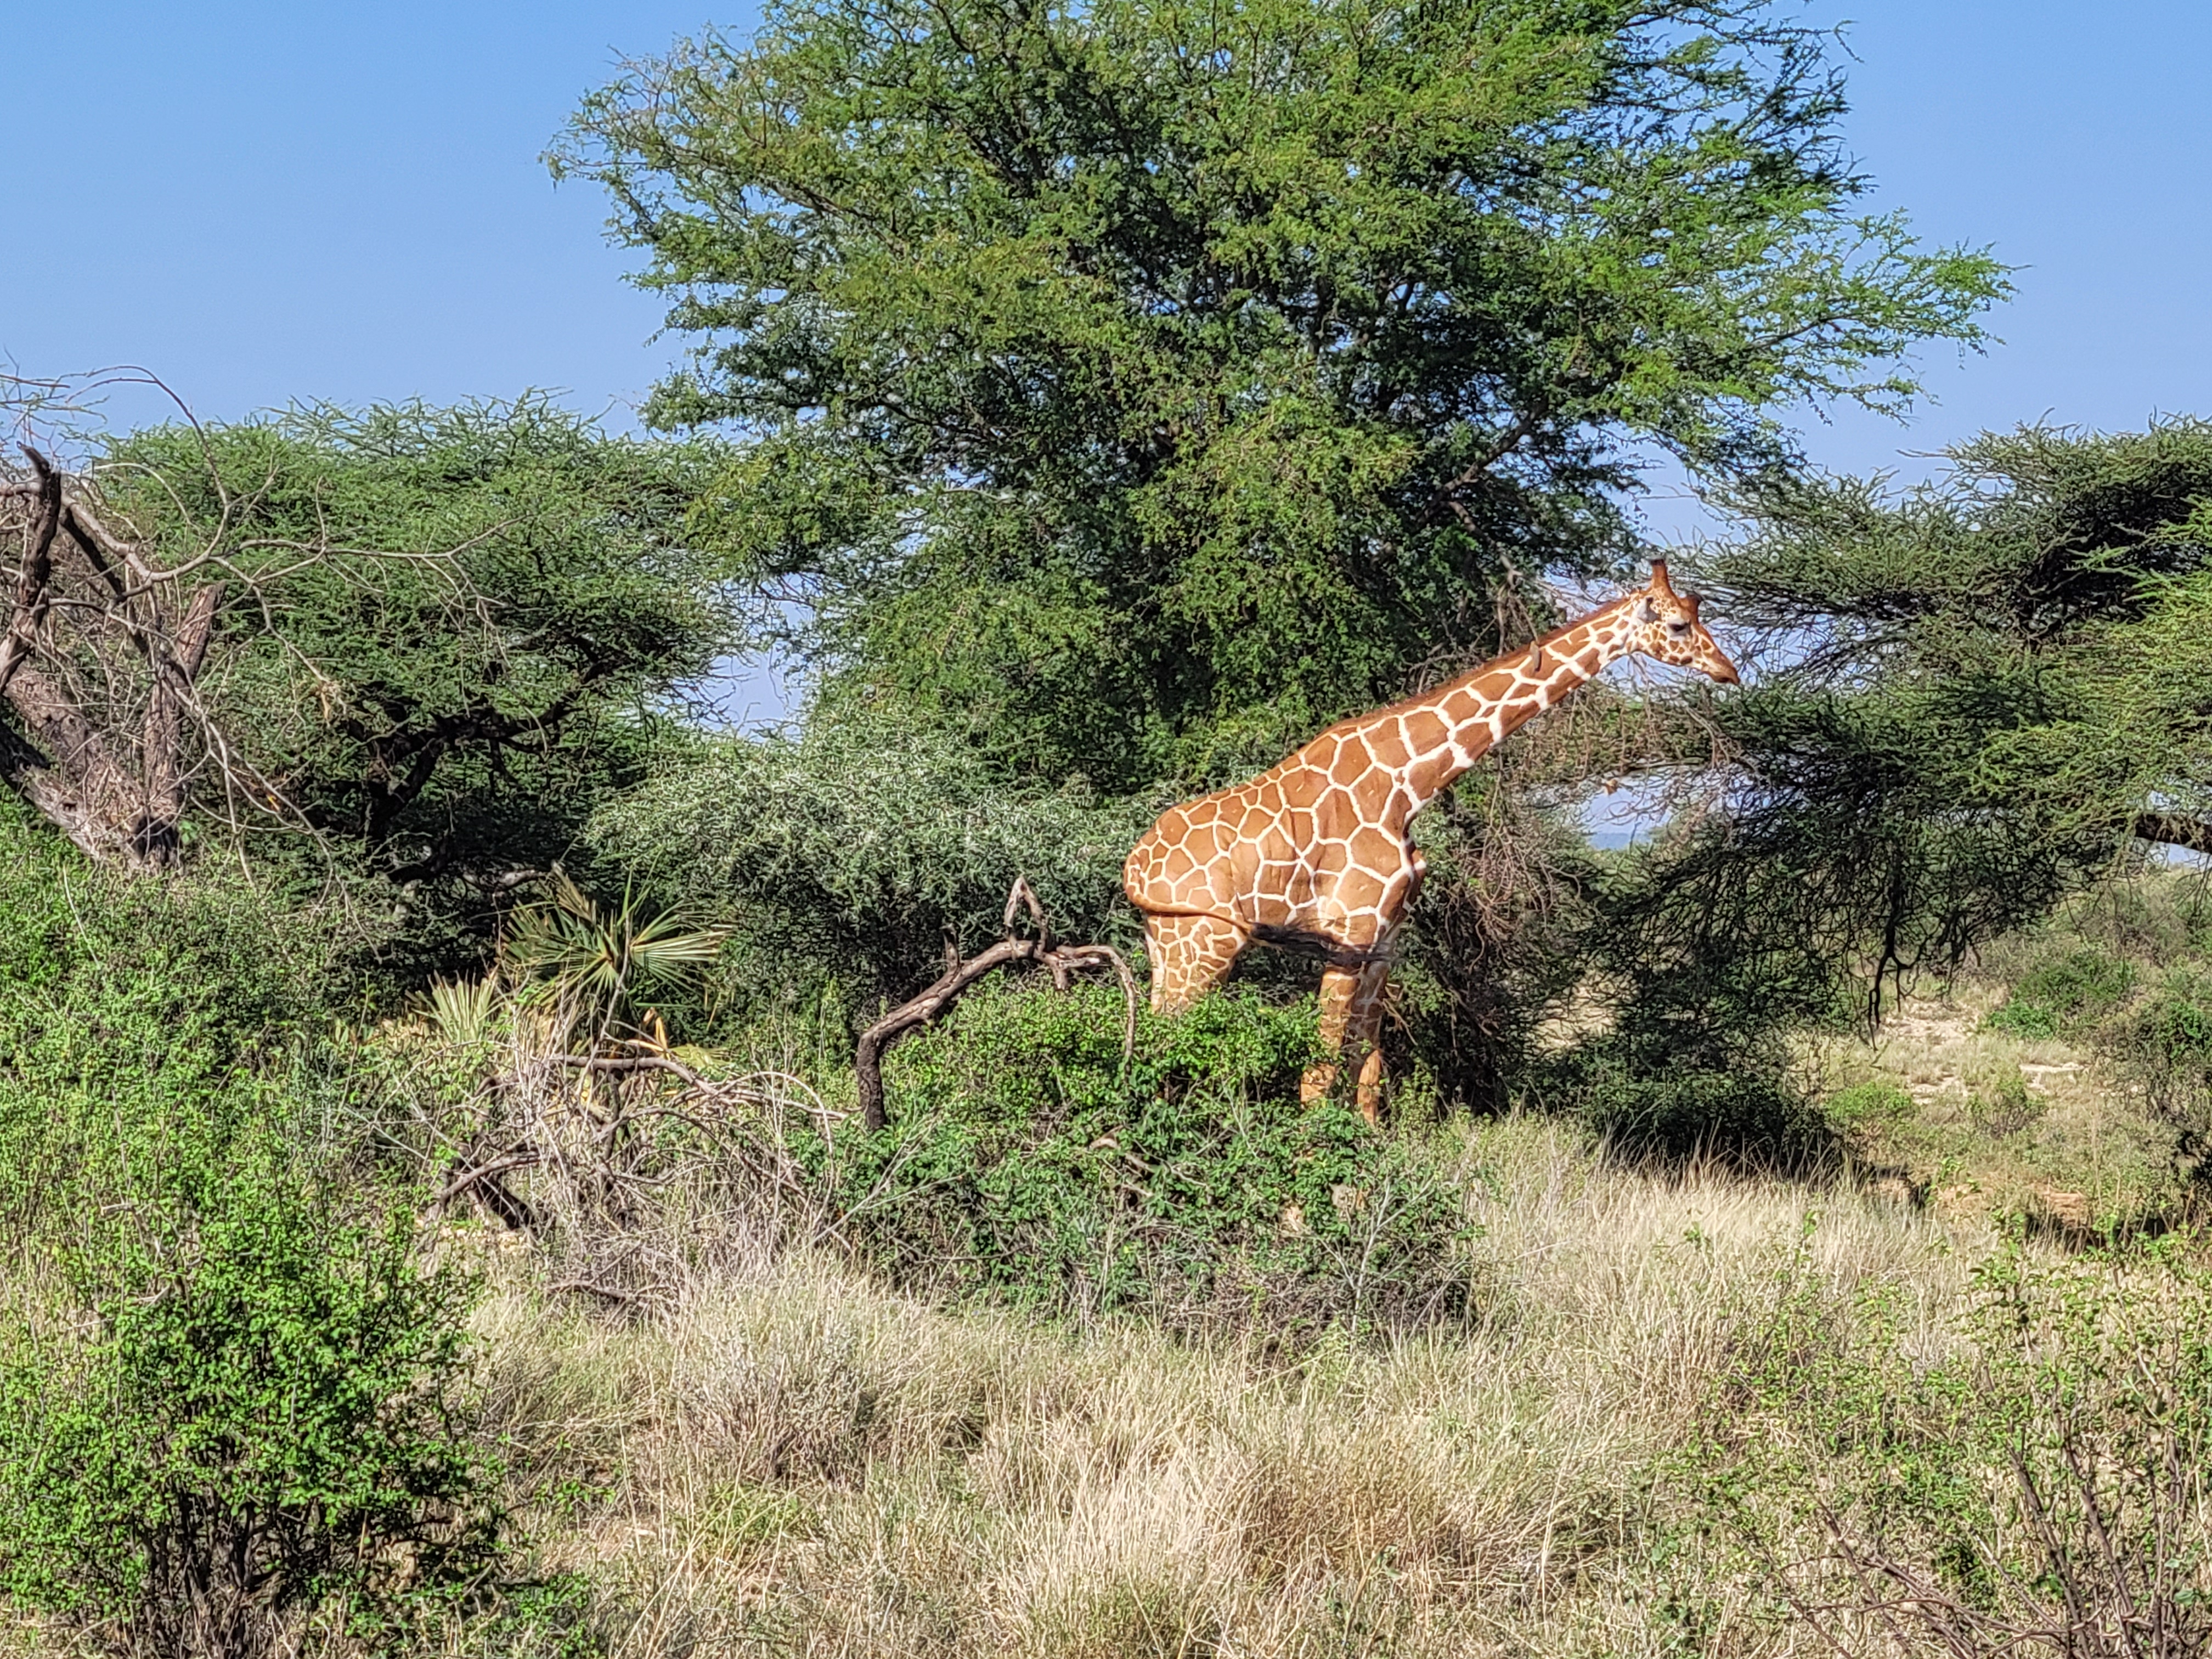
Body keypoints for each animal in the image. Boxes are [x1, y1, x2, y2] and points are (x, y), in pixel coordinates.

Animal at [1123, 561, 1740, 1122]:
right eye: (1680, 624)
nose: (1729, 670)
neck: (1407, 784)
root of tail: (1134, 868)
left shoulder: (1386, 937)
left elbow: (1366, 1066)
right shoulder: (1350, 931)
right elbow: (1320, 1072)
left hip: (1165, 942)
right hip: (1205, 941)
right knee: (1165, 1042)